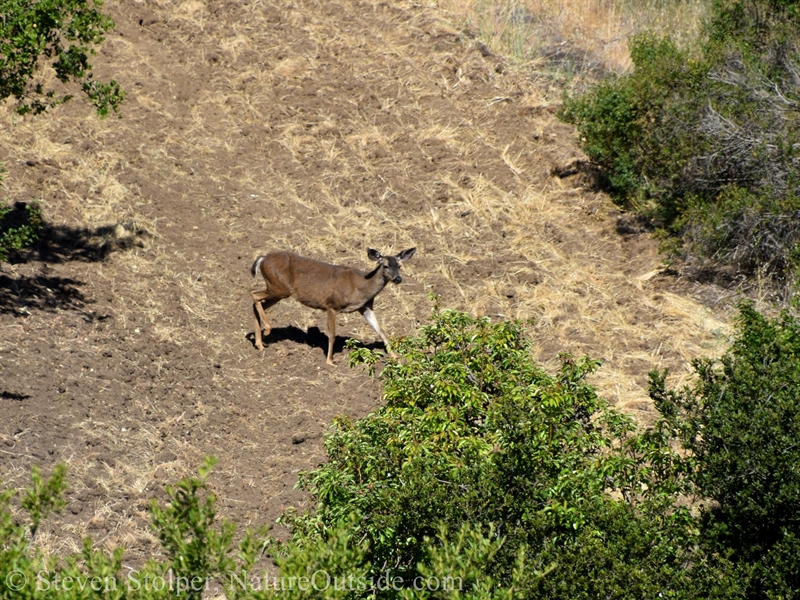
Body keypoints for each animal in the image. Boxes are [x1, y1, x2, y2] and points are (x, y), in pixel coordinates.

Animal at [250, 246, 416, 364]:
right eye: (385, 266)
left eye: (399, 266)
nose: (398, 279)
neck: (361, 287)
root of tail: (263, 258)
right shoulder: (331, 304)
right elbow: (332, 335)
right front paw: (330, 361)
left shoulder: (366, 307)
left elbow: (381, 331)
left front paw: (395, 355)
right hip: (280, 287)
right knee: (254, 294)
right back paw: (267, 330)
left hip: (277, 289)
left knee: (256, 301)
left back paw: (259, 343)